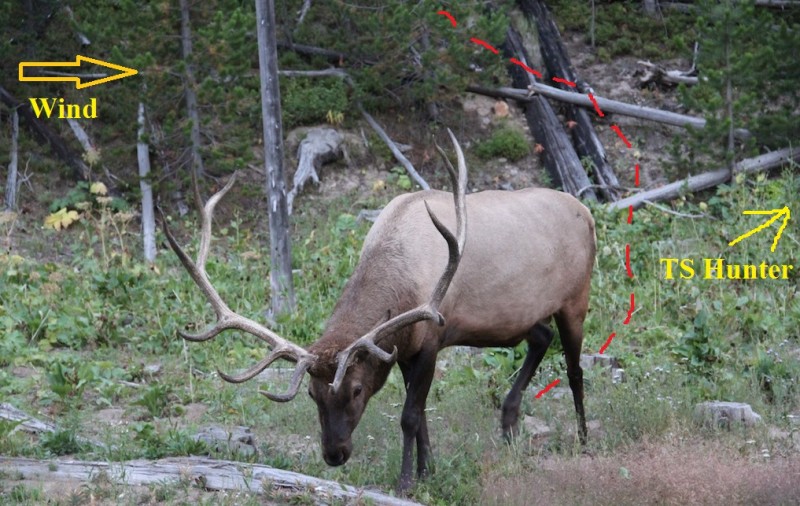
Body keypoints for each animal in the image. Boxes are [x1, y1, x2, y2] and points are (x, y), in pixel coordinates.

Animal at [162, 131, 596, 492]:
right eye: (312, 394)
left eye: (356, 389)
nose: (334, 453)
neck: (400, 278)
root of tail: (586, 210)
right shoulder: (402, 349)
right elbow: (421, 416)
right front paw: (427, 471)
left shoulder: (432, 338)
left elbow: (409, 416)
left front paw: (406, 481)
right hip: (523, 316)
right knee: (542, 337)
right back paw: (508, 422)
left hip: (576, 298)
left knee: (575, 370)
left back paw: (584, 440)